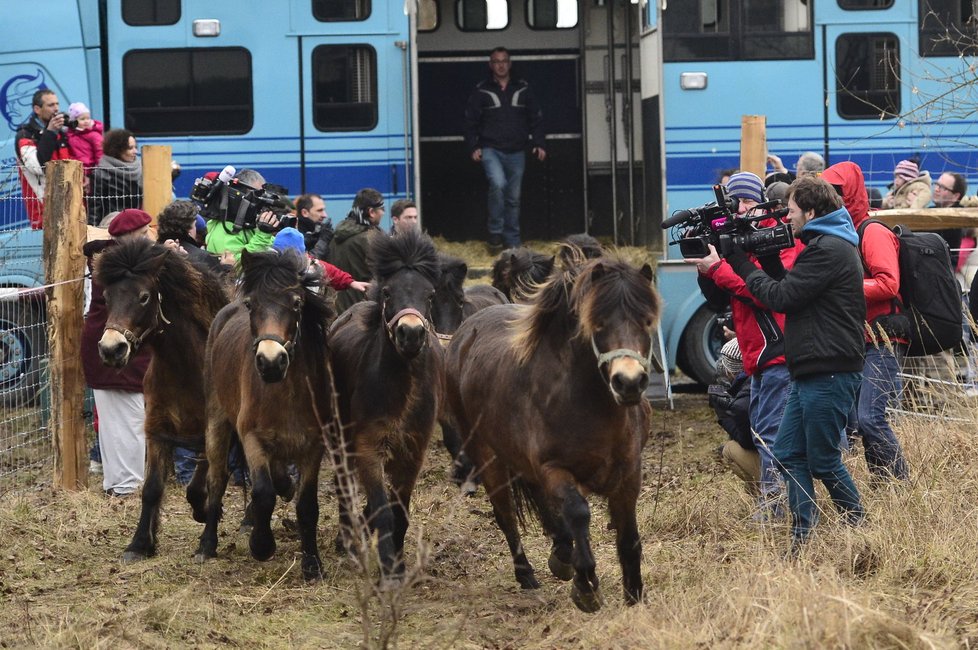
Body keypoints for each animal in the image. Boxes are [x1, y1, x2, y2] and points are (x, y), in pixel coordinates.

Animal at [96, 237, 232, 556]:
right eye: (106, 297)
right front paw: (139, 543)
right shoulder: (156, 431)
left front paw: (206, 524)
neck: (186, 369)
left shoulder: (212, 433)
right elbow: (152, 488)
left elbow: (206, 483)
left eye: (144, 297)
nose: (111, 349)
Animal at [191, 248, 336, 576]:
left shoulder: (313, 446)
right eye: (251, 304)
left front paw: (312, 563)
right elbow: (263, 493)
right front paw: (261, 545)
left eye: (296, 303)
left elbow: (306, 504)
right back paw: (207, 545)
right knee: (216, 479)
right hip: (217, 422)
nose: (271, 362)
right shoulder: (252, 439)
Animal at [330, 229, 440, 588]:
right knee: (342, 484)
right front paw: (389, 570)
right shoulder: (368, 448)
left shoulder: (412, 452)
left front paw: (398, 567)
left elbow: (398, 511)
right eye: (390, 291)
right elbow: (383, 511)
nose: (411, 333)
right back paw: (348, 540)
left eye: (430, 295)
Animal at [442, 256, 656, 612]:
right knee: (506, 514)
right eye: (597, 323)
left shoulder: (628, 473)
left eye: (648, 321)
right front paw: (586, 587)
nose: (629, 382)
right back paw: (527, 573)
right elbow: (578, 512)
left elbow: (628, 538)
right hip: (489, 457)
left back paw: (561, 551)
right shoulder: (553, 469)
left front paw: (634, 596)